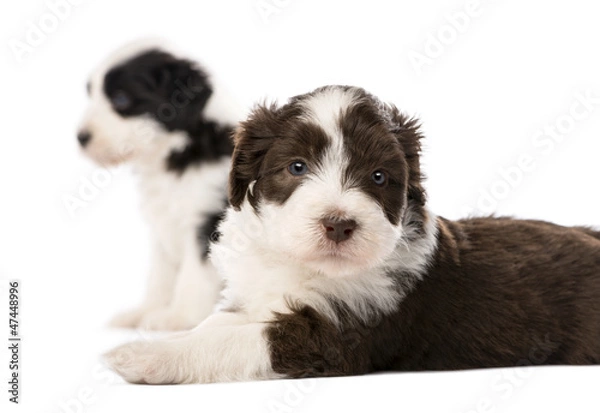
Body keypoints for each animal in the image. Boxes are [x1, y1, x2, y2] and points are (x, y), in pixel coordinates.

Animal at [78, 41, 241, 330]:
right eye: (91, 95)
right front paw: (145, 311)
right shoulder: (161, 226)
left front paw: (179, 316)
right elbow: (160, 276)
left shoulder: (206, 223)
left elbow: (193, 275)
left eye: (121, 99)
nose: (80, 137)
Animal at [104, 84, 600, 384]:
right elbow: (215, 324)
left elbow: (237, 340)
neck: (304, 266)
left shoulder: (335, 335)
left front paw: (143, 357)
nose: (339, 224)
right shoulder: (257, 298)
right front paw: (166, 340)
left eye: (379, 177)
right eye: (297, 167)